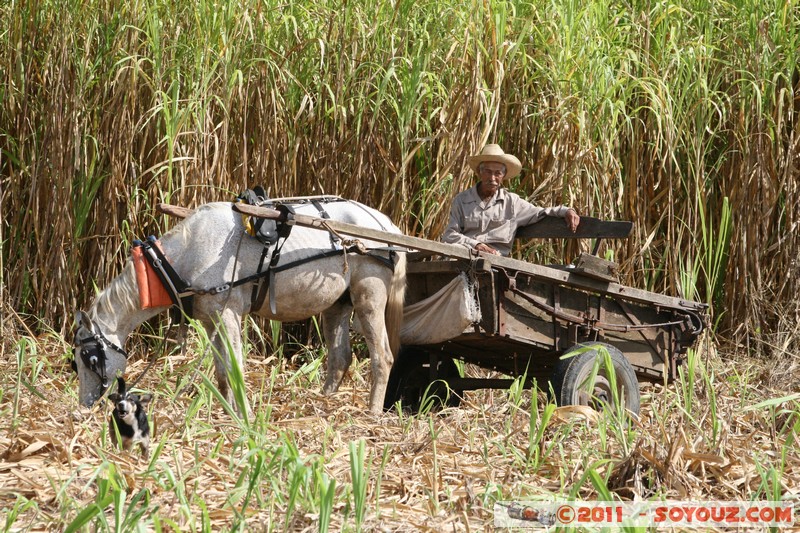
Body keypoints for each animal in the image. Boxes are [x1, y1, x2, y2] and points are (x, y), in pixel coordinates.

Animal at [72, 197, 406, 414]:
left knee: (383, 356)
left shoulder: (228, 312)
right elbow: (222, 371)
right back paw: (324, 402)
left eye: (90, 358)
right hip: (338, 303)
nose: (85, 406)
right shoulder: (211, 319)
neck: (183, 256)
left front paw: (244, 414)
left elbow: (236, 366)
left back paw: (373, 413)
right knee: (339, 358)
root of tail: (388, 226)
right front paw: (228, 410)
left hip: (369, 295)